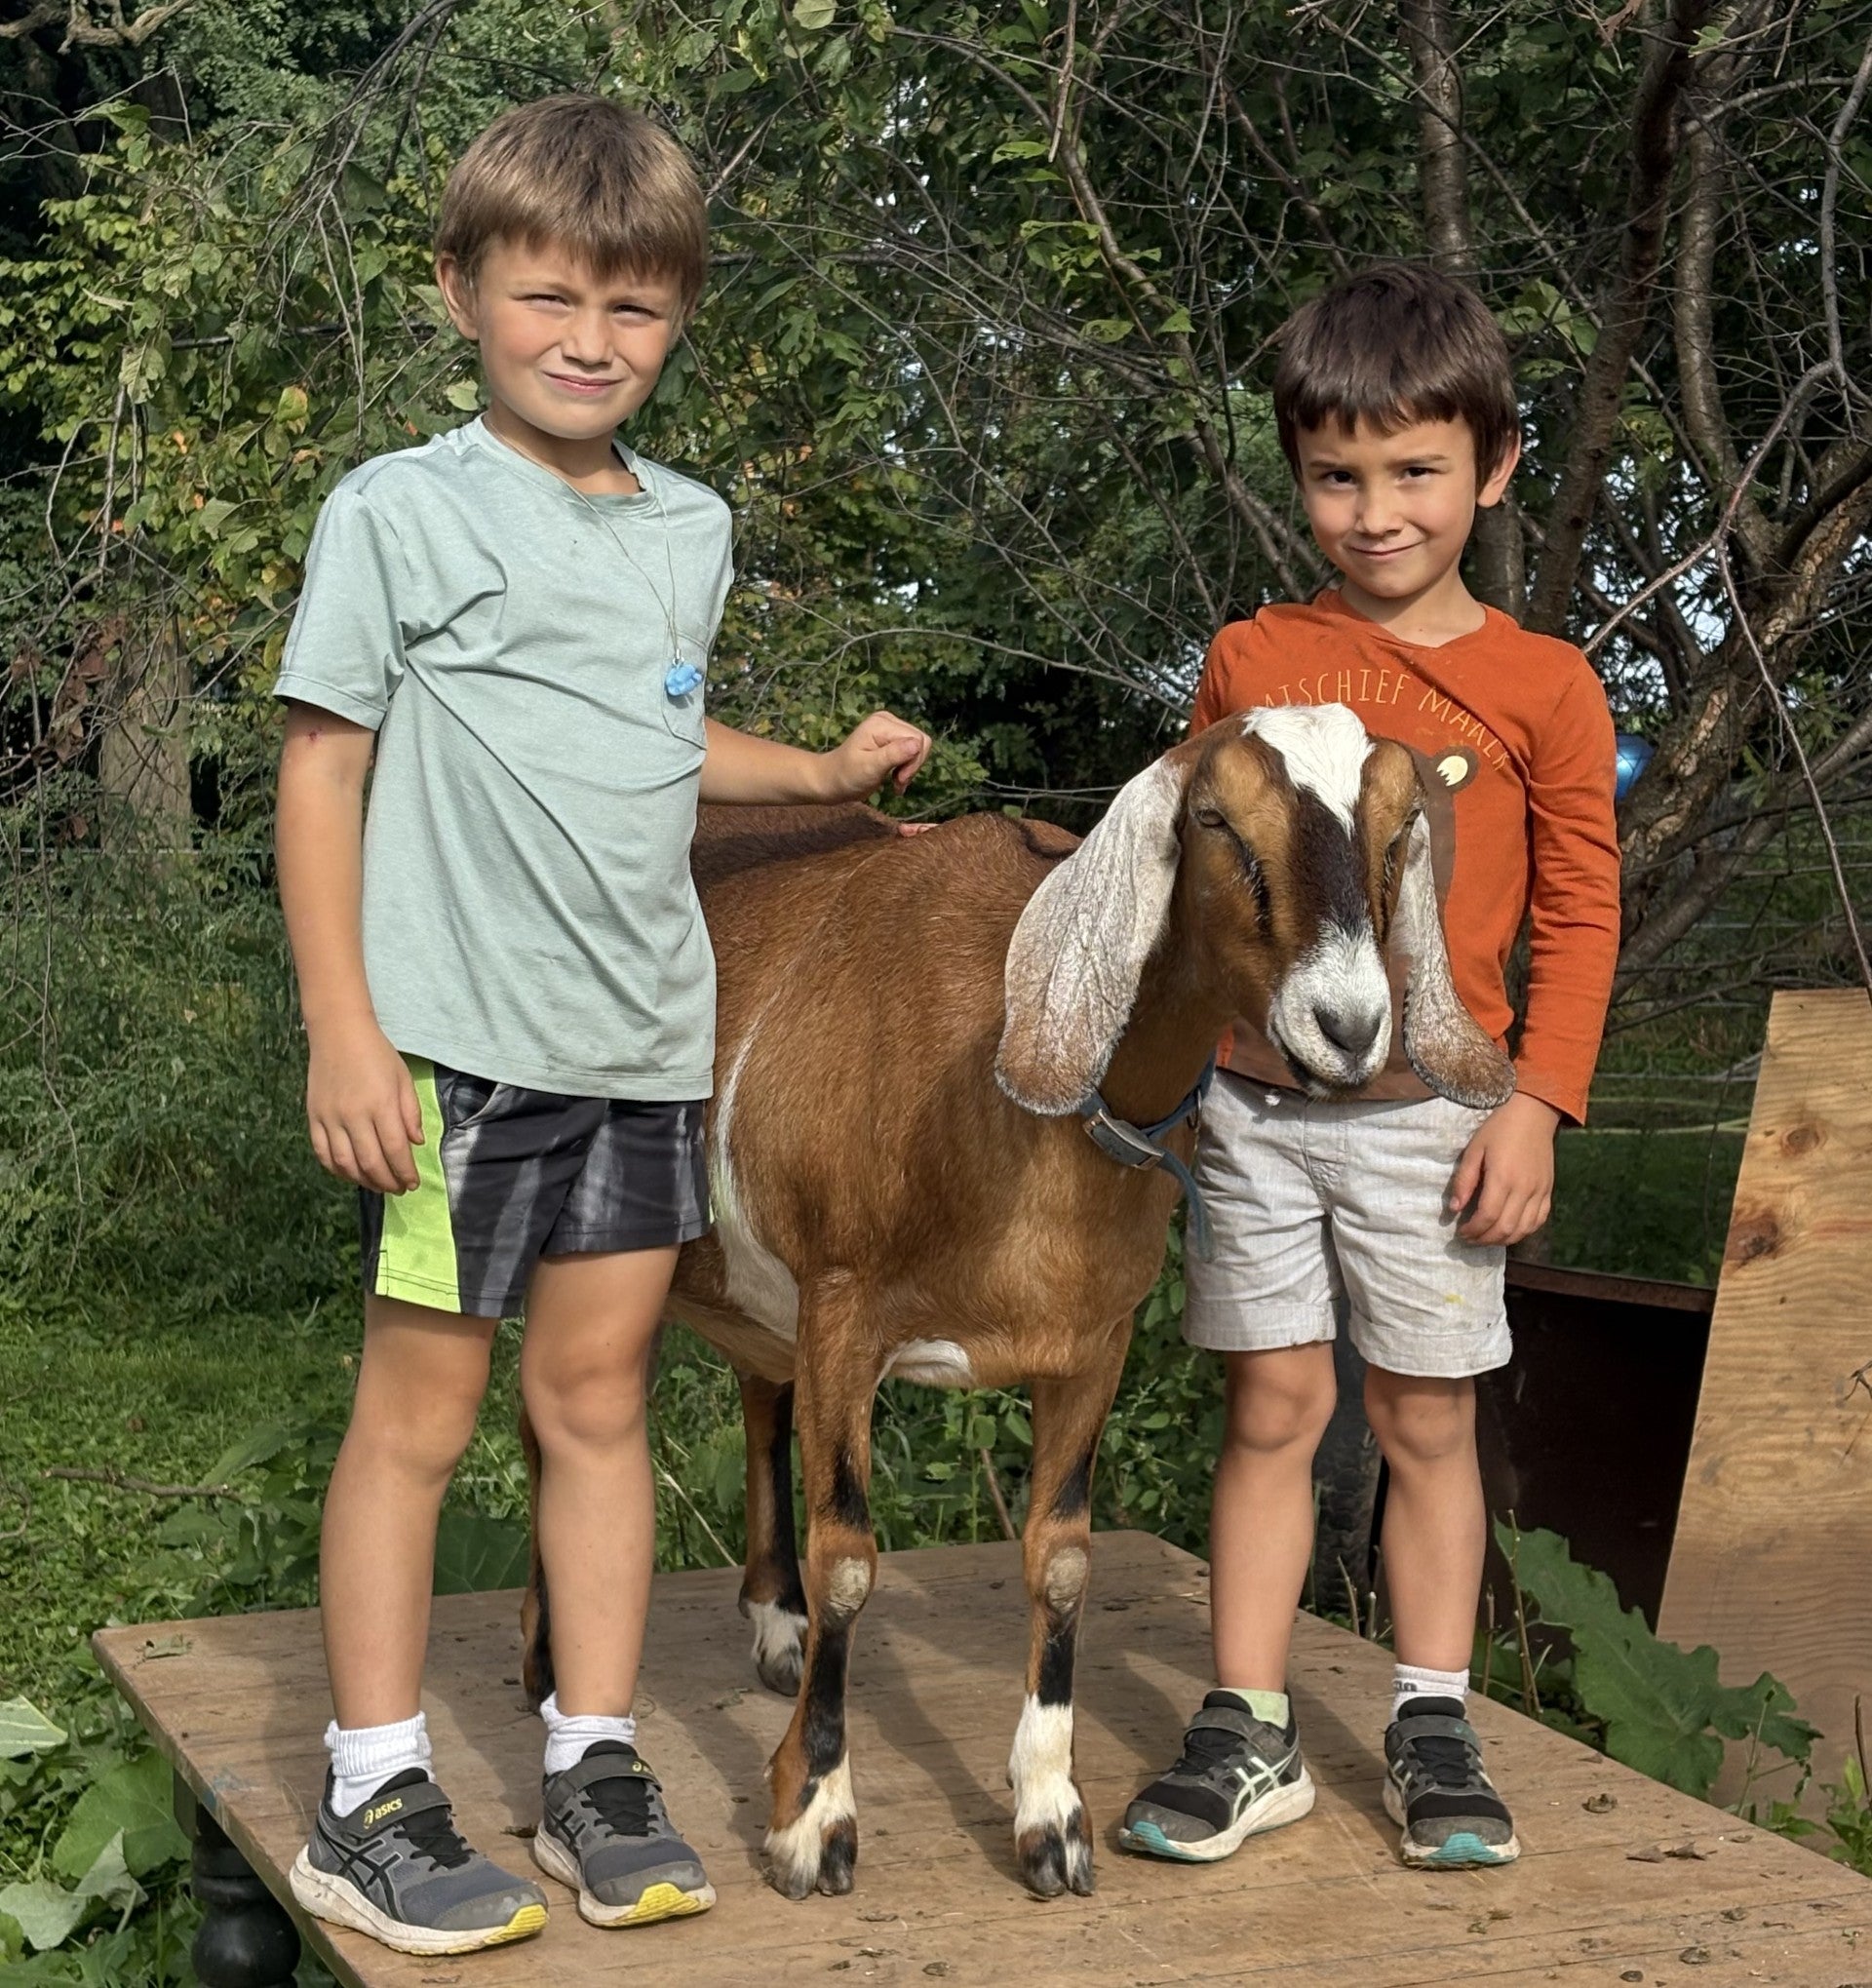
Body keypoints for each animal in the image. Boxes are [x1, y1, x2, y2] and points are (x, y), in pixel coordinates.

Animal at [521, 702, 1513, 1903]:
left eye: (1400, 828)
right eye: (1218, 820)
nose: (1350, 1026)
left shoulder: (1092, 1340)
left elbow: (1065, 1559)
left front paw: (1051, 1814)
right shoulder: (845, 1306)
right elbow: (849, 1561)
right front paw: (813, 1817)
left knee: (757, 1398)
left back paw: (773, 1622)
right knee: (542, 1421)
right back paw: (545, 1657)